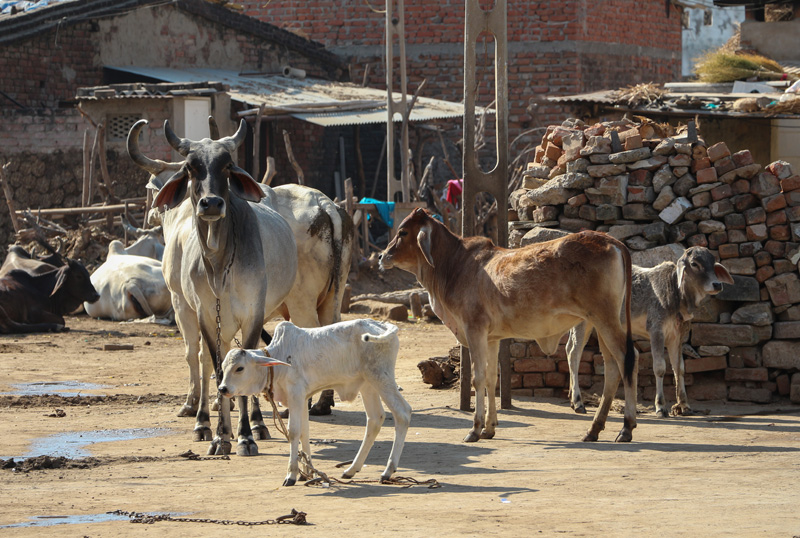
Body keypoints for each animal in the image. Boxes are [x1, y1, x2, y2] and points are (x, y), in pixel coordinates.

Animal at [128, 118, 298, 457]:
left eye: (228, 165)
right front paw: (219, 435)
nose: (211, 203)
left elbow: (246, 363)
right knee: (209, 361)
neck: (219, 264)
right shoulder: (203, 313)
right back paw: (207, 422)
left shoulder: (252, 314)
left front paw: (245, 436)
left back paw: (257, 424)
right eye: (191, 167)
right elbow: (216, 367)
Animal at [218, 319, 411, 486]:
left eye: (240, 368)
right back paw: (351, 469)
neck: (280, 357)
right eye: (223, 368)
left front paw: (292, 474)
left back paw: (387, 471)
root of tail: (380, 324)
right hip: (368, 384)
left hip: (380, 377)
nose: (222, 388)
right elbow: (305, 433)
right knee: (375, 419)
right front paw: (307, 473)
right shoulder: (303, 399)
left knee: (402, 413)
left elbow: (294, 433)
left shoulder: (296, 396)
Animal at [379, 208, 637, 443]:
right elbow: (491, 379)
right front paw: (489, 428)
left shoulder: (474, 331)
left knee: (627, 360)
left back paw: (626, 428)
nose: (382, 257)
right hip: (601, 322)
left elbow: (478, 379)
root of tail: (613, 242)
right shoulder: (491, 338)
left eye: (402, 232)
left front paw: (475, 429)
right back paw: (594, 429)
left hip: (605, 320)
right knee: (612, 369)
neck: (454, 266)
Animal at [566, 246, 734, 417]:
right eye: (694, 263)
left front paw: (684, 406)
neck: (675, 292)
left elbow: (679, 369)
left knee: (568, 348)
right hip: (582, 322)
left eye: (713, 262)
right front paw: (661, 406)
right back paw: (578, 402)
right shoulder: (656, 331)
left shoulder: (676, 337)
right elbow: (659, 368)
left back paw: (572, 399)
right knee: (574, 354)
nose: (717, 284)